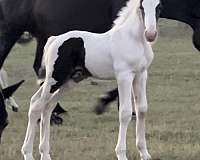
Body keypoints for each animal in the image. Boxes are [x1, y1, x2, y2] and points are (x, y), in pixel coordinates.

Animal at [21, 0, 161, 159]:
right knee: (36, 105)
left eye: (159, 6)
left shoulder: (141, 74)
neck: (132, 39)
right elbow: (125, 113)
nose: (150, 34)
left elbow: (142, 109)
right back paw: (27, 153)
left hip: (69, 81)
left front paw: (144, 153)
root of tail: (53, 39)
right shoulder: (124, 76)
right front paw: (121, 154)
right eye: (142, 7)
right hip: (55, 79)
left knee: (47, 106)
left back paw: (45, 153)